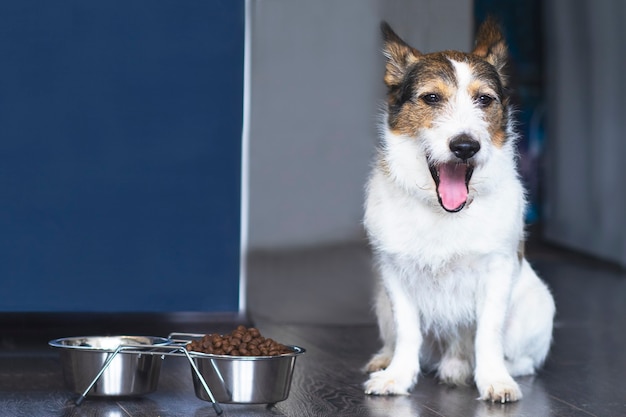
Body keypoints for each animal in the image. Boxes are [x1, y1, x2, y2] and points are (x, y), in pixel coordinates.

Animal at [364, 17, 552, 402]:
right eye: (432, 98)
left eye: (484, 99)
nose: (465, 146)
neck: (444, 212)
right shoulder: (394, 276)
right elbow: (407, 331)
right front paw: (398, 376)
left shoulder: (497, 273)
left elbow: (488, 333)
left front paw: (494, 378)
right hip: (380, 302)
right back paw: (387, 358)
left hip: (539, 306)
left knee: (522, 359)